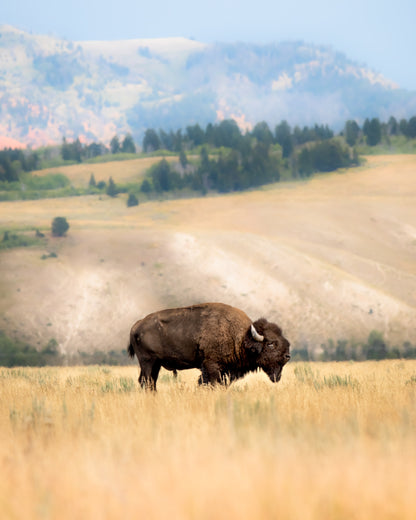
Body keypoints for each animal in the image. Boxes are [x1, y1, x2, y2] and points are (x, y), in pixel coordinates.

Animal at [127, 300, 290, 390]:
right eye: (270, 344)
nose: (287, 356)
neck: (241, 337)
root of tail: (136, 326)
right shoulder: (211, 365)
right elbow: (210, 383)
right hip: (148, 361)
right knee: (146, 382)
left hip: (156, 364)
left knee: (151, 382)